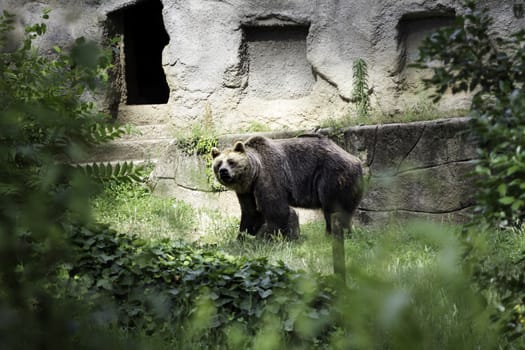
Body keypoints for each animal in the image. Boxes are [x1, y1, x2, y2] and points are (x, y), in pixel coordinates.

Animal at [211, 135, 362, 239]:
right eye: (218, 164)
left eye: (231, 161)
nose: (223, 171)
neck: (253, 175)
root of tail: (355, 158)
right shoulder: (246, 191)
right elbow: (251, 212)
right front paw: (242, 238)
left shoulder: (268, 176)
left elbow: (276, 210)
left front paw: (272, 237)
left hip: (332, 176)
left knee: (334, 209)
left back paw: (335, 235)